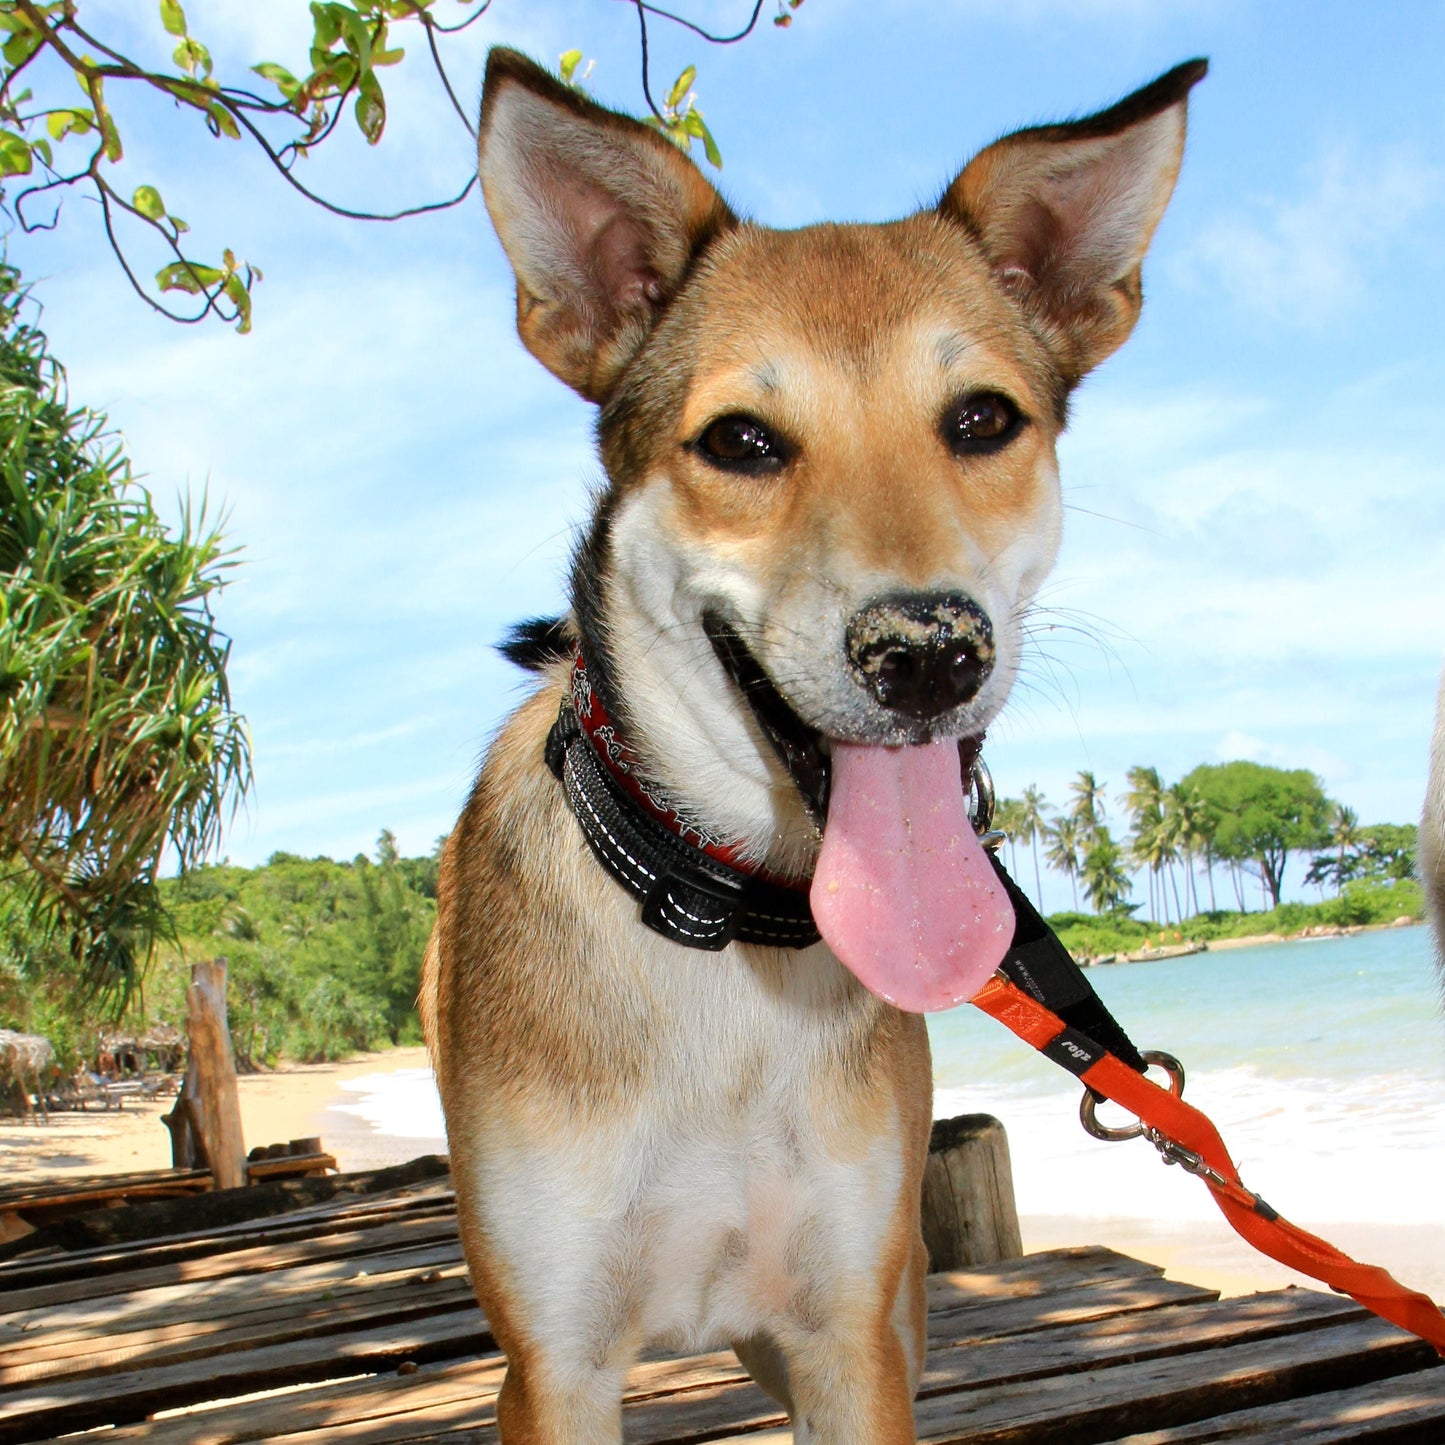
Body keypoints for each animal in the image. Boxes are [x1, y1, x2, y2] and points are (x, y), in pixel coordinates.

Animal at [421, 48, 1202, 1445]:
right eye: (740, 440)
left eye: (981, 419)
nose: (926, 650)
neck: (721, 918)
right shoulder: (553, 1362)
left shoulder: (848, 1327)